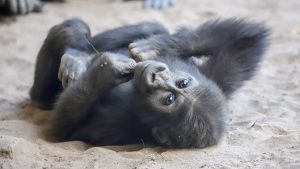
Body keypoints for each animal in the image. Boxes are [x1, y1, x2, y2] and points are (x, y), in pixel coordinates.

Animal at [29, 18, 270, 148]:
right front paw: (158, 45)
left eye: (169, 99)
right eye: (183, 83)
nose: (157, 77)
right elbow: (250, 39)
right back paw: (78, 51)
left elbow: (62, 129)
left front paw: (107, 70)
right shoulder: (213, 77)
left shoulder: (115, 126)